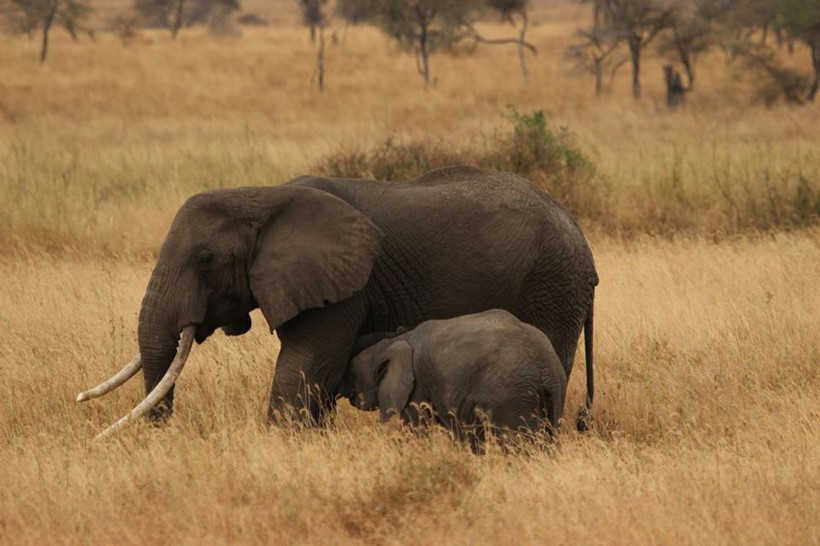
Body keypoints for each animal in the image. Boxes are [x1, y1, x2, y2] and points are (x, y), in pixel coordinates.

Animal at [342, 308, 568, 444]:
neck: (396, 340)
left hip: (511, 397)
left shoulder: (417, 387)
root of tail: (548, 366)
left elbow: (416, 428)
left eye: (352, 372)